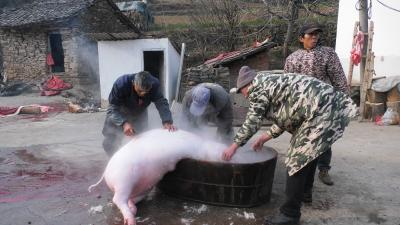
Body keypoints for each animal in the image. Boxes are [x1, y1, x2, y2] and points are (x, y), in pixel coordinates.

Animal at [89, 128, 230, 225]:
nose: (230, 154)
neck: (204, 146)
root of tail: (106, 172)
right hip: (124, 181)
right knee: (117, 199)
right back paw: (131, 220)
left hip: (143, 189)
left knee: (129, 199)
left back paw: (133, 209)